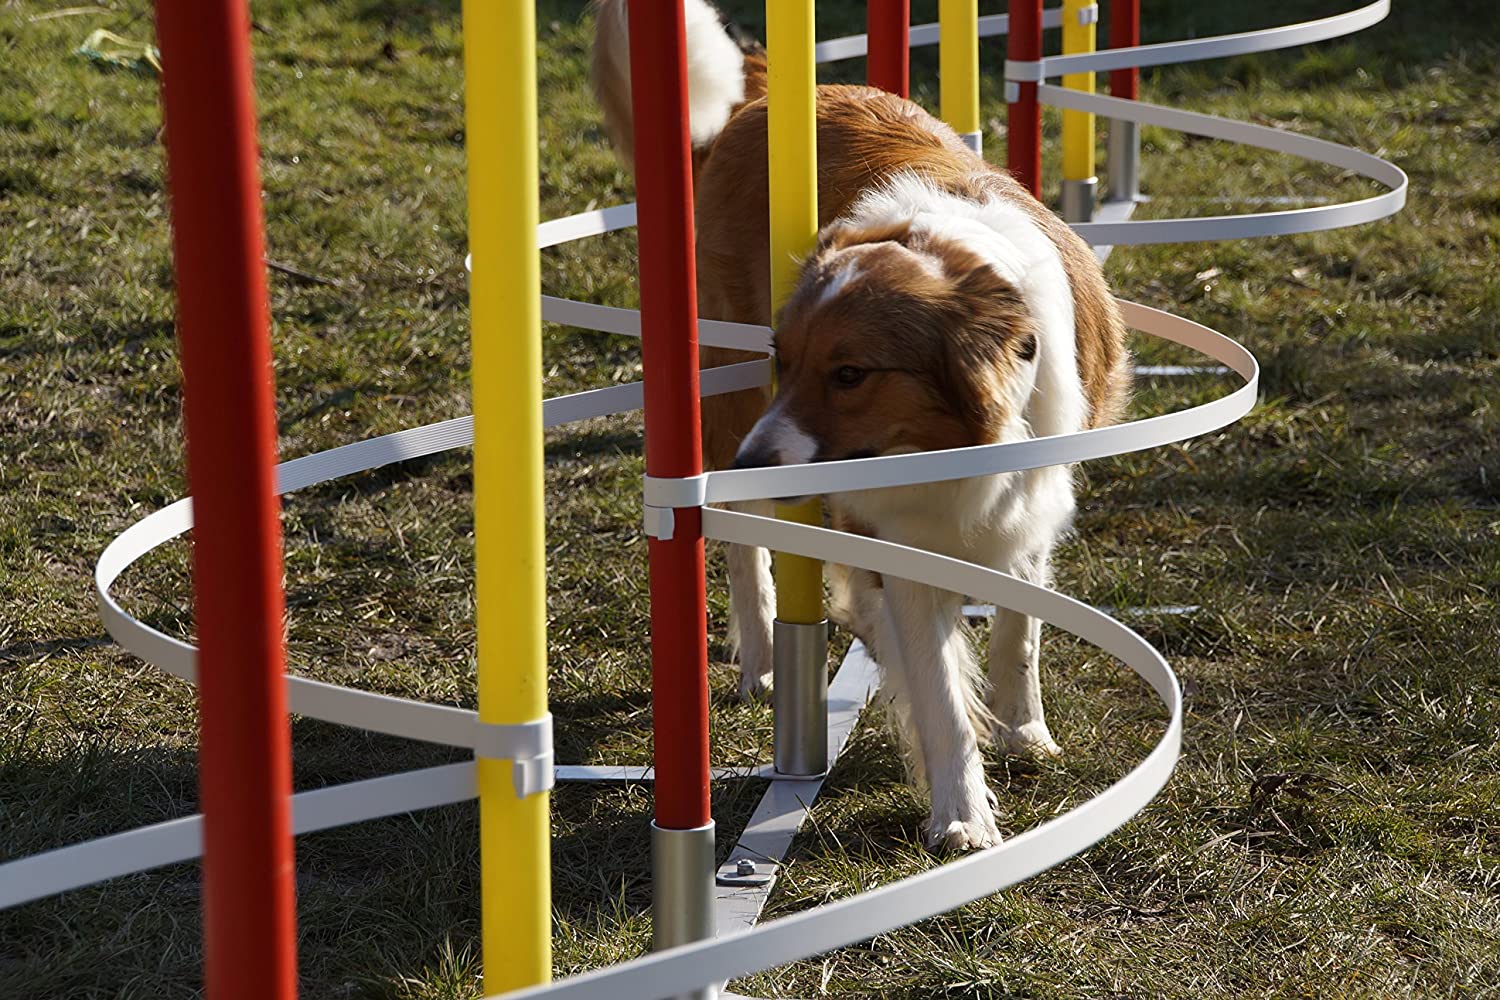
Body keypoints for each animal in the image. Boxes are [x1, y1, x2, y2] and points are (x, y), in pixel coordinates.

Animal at [591, 0, 1128, 851]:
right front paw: (962, 816)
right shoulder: (899, 538)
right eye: (785, 359)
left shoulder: (1033, 497)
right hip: (727, 403)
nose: (751, 461)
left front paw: (1022, 727)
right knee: (742, 540)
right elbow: (939, 692)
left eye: (850, 374)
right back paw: (767, 653)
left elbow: (1021, 624)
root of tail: (766, 91)